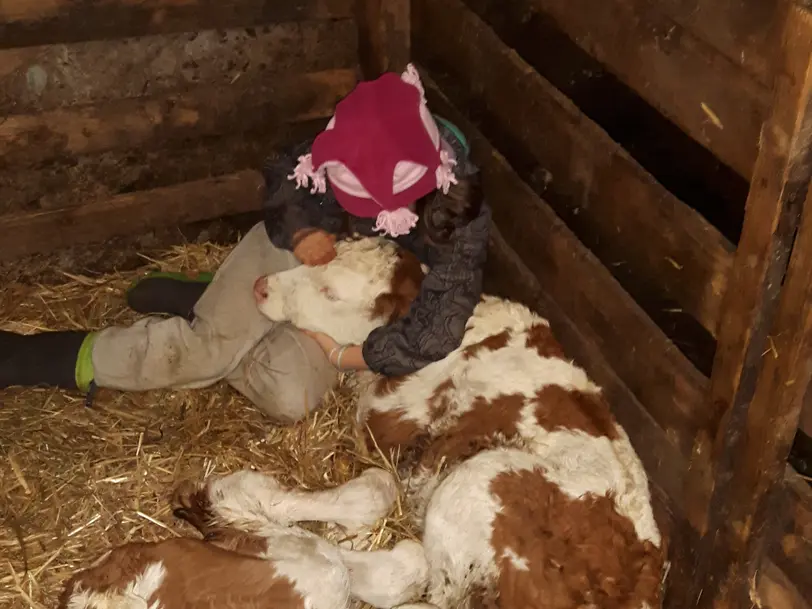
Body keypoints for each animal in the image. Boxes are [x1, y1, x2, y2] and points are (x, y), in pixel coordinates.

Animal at [190, 238, 668, 608]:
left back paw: (235, 500)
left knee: (390, 566)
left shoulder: (384, 422)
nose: (261, 286)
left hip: (478, 480)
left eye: (330, 292)